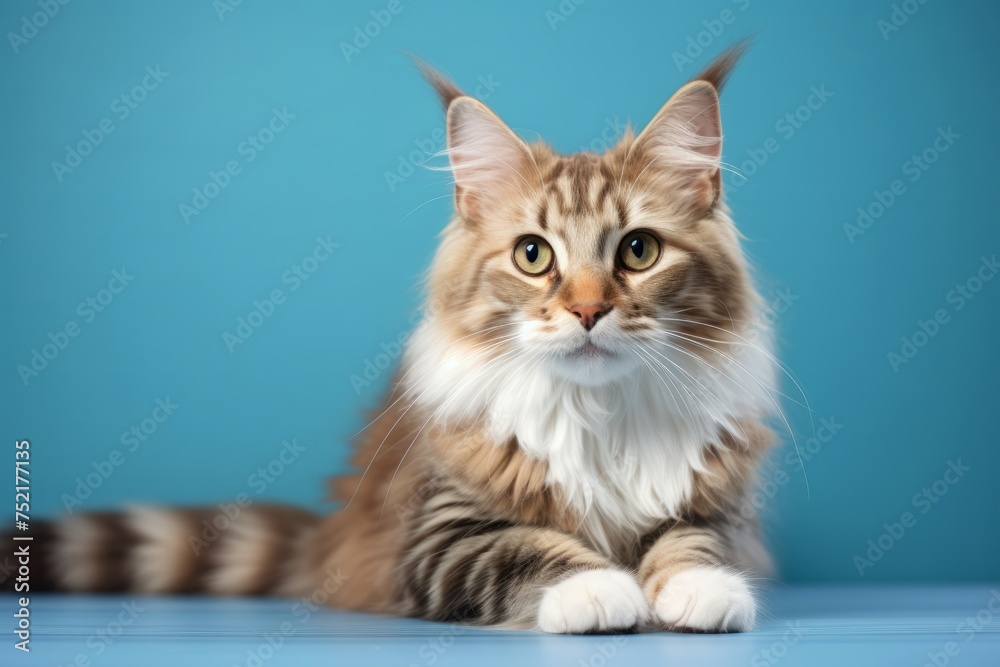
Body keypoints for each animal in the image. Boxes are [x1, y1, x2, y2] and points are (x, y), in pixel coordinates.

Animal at [31, 41, 780, 636]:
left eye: (639, 250)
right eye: (533, 255)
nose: (589, 310)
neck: (595, 414)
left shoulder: (721, 505)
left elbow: (693, 542)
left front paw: (700, 590)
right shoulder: (438, 533)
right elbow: (529, 548)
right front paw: (598, 589)